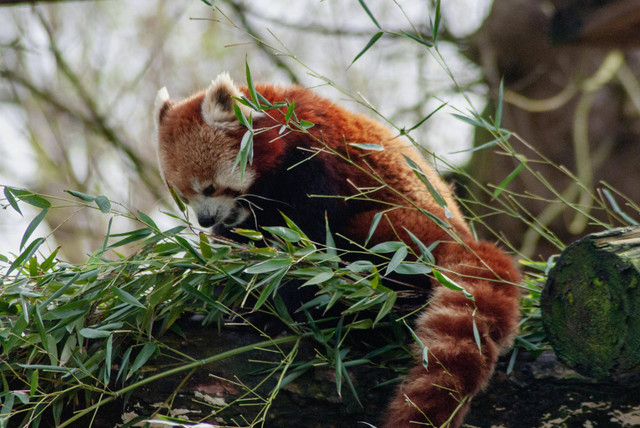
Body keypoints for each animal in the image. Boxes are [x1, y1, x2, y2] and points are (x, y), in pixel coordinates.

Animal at [154, 73, 520, 428]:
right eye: (183, 196)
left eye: (209, 188)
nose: (204, 219)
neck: (282, 127)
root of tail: (462, 238)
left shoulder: (312, 166)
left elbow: (308, 250)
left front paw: (260, 312)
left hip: (399, 233)